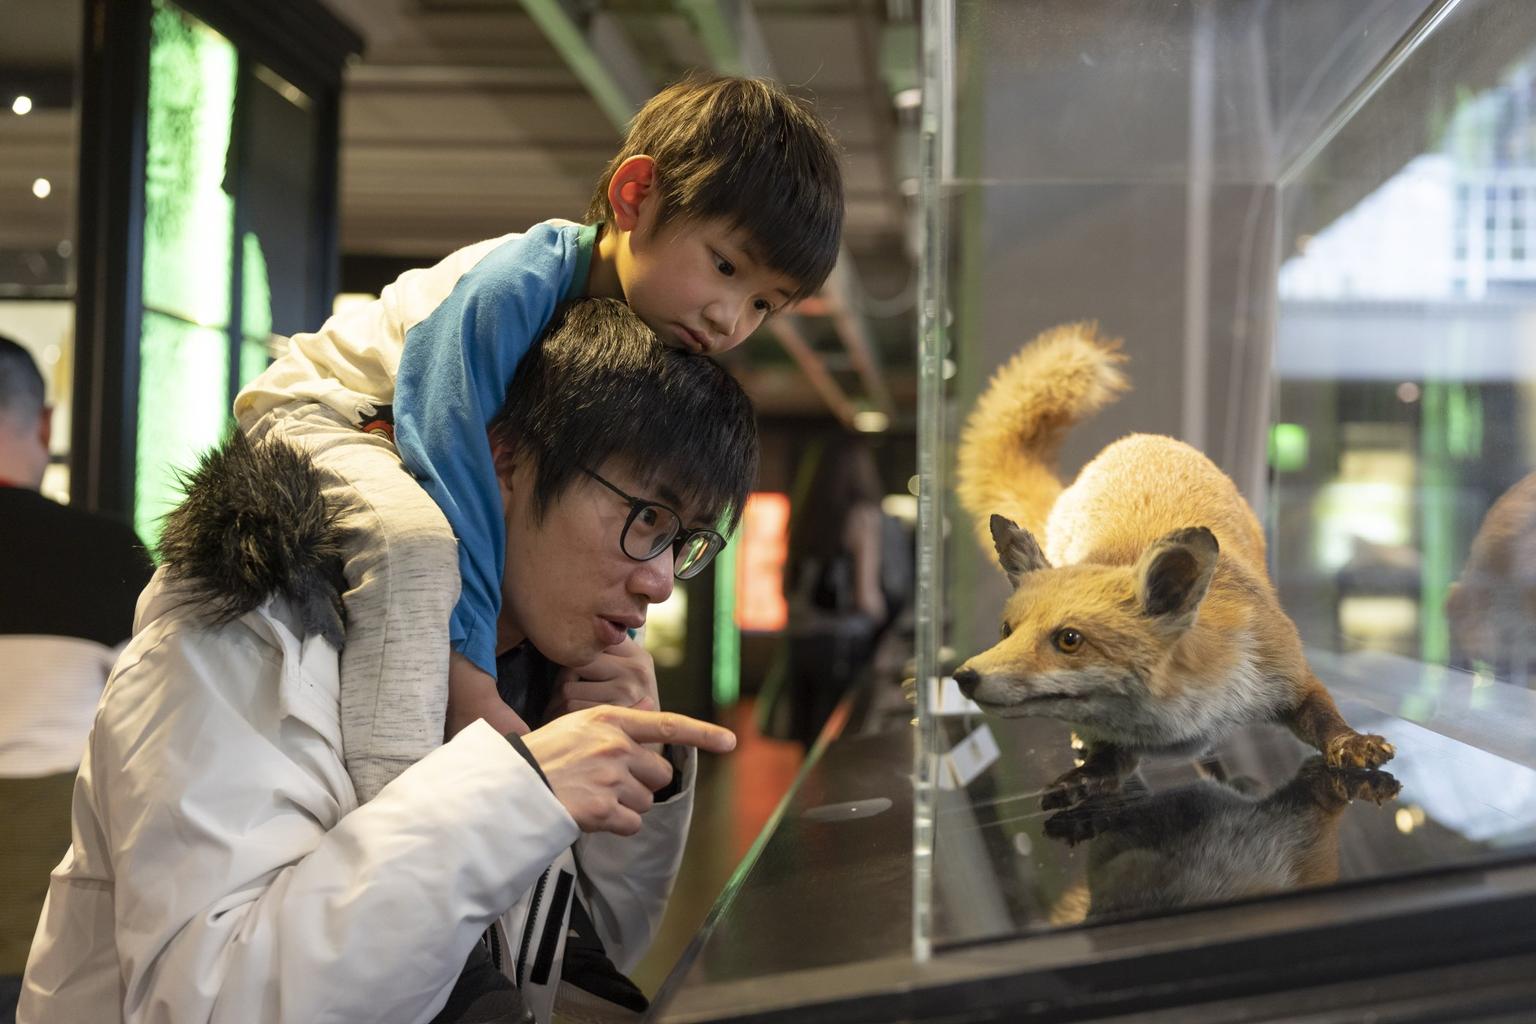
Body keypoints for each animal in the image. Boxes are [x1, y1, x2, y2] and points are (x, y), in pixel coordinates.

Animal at [951, 322, 1395, 806]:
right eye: (1006, 630)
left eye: (1069, 639)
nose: (963, 676)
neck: (1181, 727)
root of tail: (1139, 440)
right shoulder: (1121, 739)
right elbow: (1108, 760)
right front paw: (1083, 776)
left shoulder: (1283, 664)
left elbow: (1324, 714)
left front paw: (1352, 742)